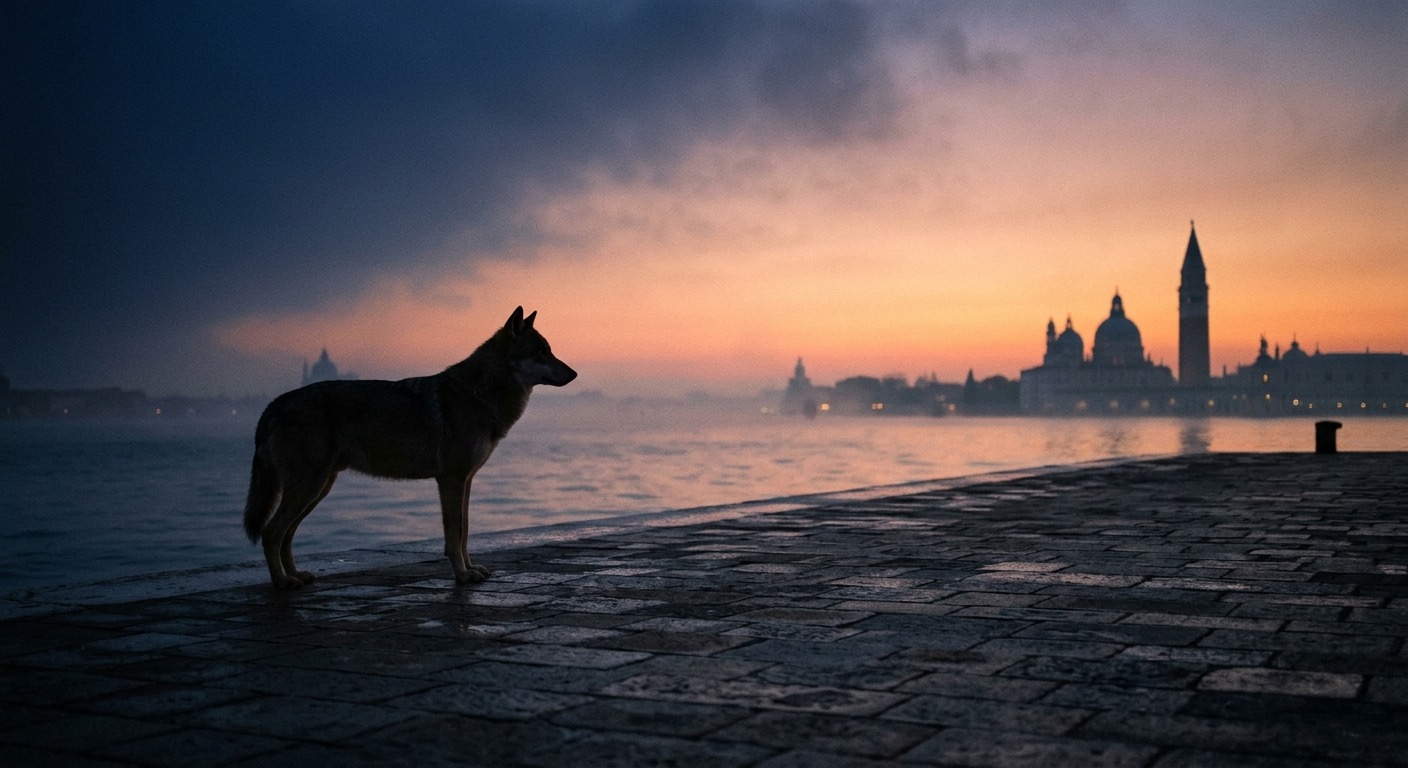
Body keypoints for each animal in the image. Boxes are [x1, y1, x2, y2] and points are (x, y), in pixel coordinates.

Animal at [243, 307, 576, 589]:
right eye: (542, 352)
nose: (573, 374)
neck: (479, 393)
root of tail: (275, 403)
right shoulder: (451, 480)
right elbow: (454, 534)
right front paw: (462, 575)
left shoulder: (465, 480)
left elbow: (465, 531)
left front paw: (471, 570)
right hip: (309, 488)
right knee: (271, 532)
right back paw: (283, 582)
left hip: (317, 489)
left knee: (285, 535)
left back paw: (296, 575)